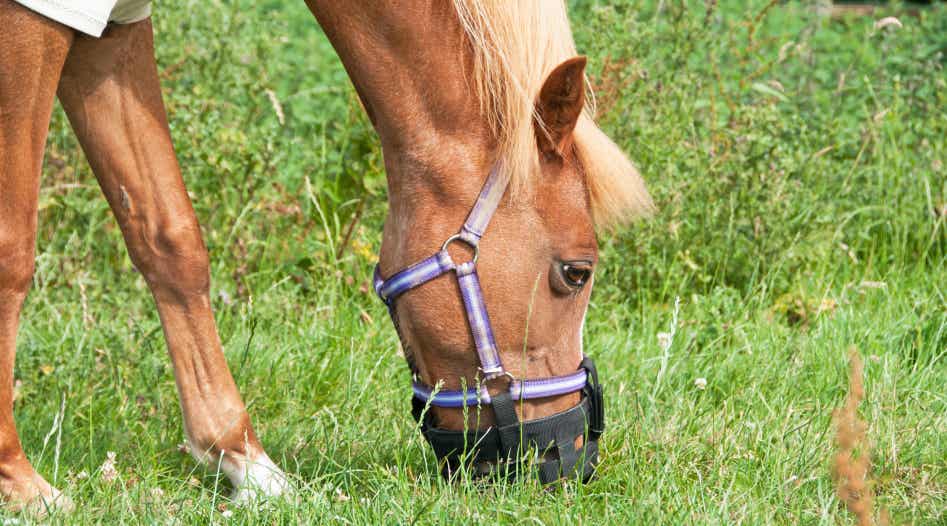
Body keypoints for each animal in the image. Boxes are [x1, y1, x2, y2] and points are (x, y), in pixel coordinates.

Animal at [0, 0, 651, 512]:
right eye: (576, 272)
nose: (573, 458)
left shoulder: (109, 26)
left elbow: (169, 236)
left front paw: (245, 463)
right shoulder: (33, 16)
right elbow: (12, 250)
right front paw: (23, 486)